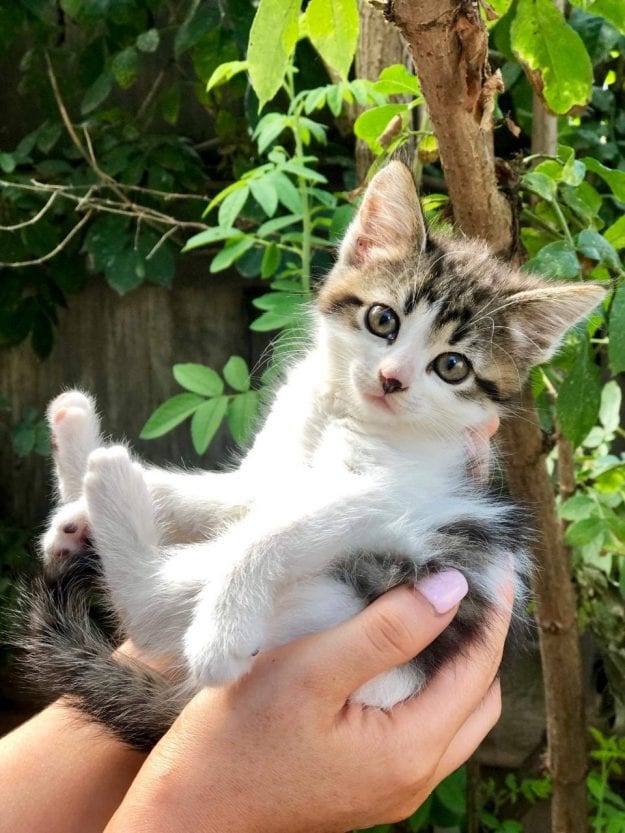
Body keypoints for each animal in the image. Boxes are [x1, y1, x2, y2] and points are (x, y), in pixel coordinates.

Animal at [25, 161, 604, 748]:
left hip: (396, 563)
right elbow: (214, 497)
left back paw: (108, 478)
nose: (392, 379)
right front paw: (88, 508)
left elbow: (270, 530)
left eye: (452, 366)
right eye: (382, 319)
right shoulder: (269, 474)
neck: (341, 412)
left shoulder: (395, 495)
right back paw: (80, 464)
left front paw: (221, 633)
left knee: (149, 610)